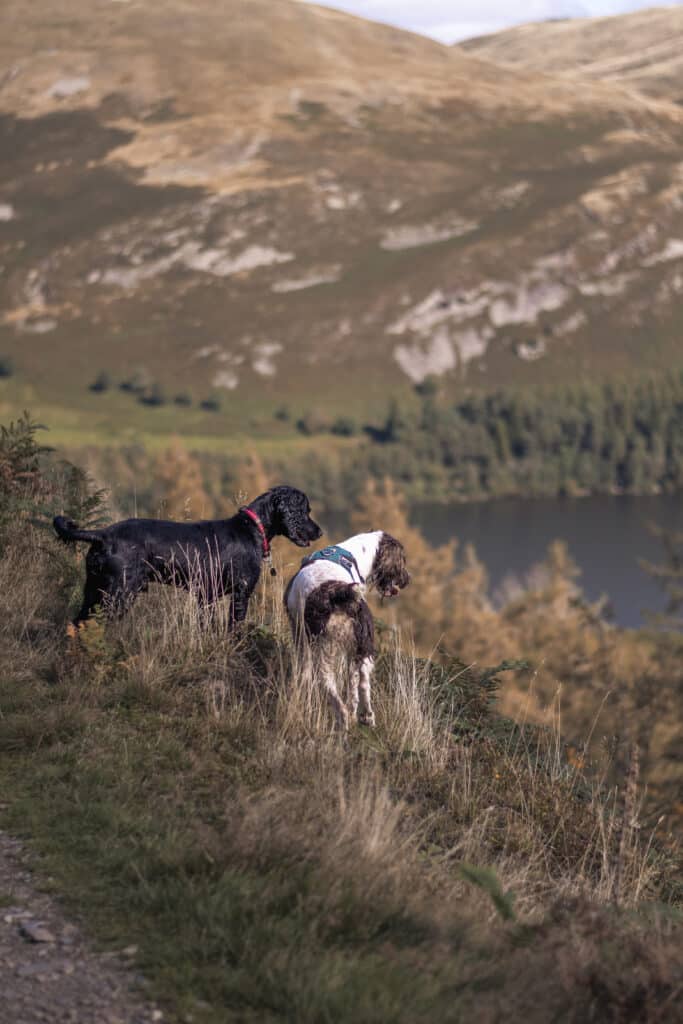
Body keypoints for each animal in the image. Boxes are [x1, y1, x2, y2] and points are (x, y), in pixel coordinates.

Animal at [53, 485, 321, 622]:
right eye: (306, 510)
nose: (319, 531)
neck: (250, 528)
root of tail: (103, 534)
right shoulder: (240, 593)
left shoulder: (206, 596)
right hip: (119, 592)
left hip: (94, 590)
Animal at [284, 532, 409, 733]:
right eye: (402, 560)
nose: (407, 579)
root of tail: (337, 593)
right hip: (358, 646)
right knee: (358, 688)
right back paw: (362, 717)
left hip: (326, 651)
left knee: (338, 694)